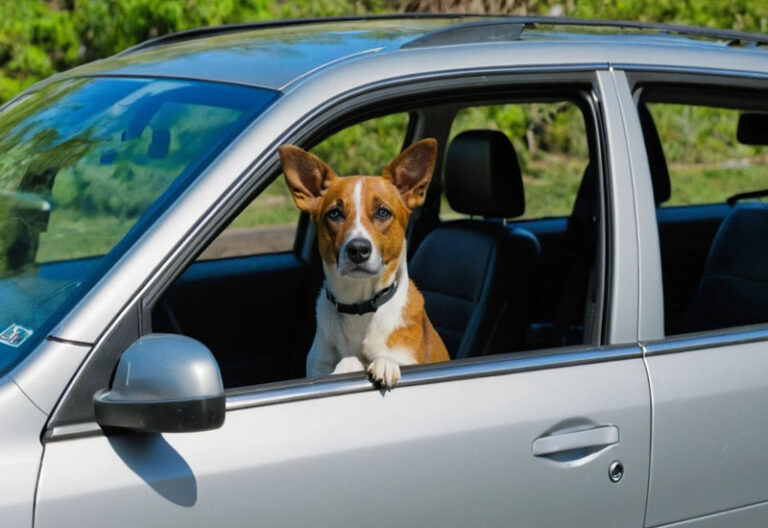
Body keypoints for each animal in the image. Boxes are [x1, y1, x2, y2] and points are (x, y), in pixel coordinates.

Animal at [280, 138, 450, 390]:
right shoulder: (318, 367)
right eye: (335, 213)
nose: (358, 250)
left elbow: (389, 357)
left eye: (382, 212)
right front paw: (350, 364)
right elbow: (346, 360)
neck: (360, 308)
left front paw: (385, 363)